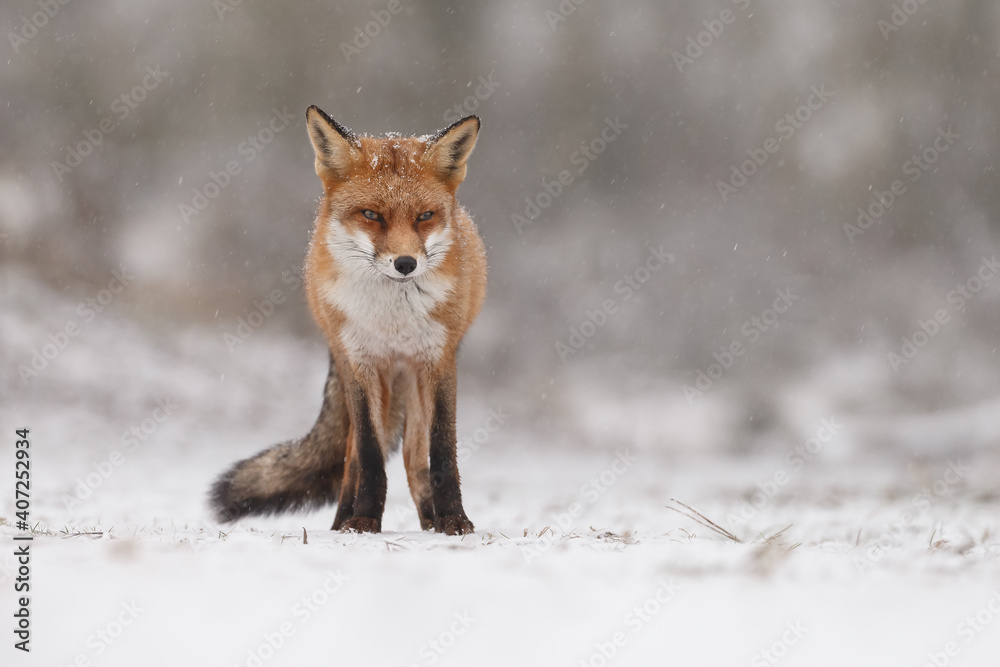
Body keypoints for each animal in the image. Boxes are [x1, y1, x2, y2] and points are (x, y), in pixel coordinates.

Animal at [209, 105, 486, 535]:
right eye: (371, 215)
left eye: (425, 216)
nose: (405, 264)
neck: (392, 320)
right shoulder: (360, 361)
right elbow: (369, 456)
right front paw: (364, 519)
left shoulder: (438, 361)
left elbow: (441, 450)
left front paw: (455, 519)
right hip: (364, 374)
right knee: (352, 459)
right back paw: (342, 521)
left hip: (412, 381)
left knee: (413, 458)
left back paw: (430, 521)